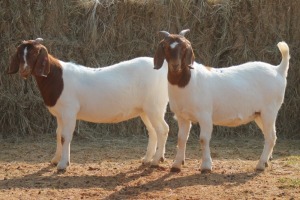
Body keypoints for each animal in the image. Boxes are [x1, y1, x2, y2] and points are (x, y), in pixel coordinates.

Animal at [8, 38, 170, 170]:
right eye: (19, 53)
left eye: (35, 53)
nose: (24, 71)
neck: (57, 78)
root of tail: (163, 68)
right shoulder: (60, 114)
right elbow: (58, 134)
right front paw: (55, 160)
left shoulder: (69, 112)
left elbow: (65, 136)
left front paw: (63, 164)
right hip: (145, 110)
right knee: (153, 131)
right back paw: (147, 159)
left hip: (155, 106)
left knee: (163, 129)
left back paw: (156, 160)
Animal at [154, 28, 290, 173]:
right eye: (165, 47)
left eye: (185, 47)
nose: (175, 65)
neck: (187, 82)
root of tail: (278, 69)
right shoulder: (182, 116)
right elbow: (181, 139)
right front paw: (176, 165)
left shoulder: (205, 115)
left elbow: (203, 139)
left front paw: (206, 166)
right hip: (259, 114)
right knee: (270, 135)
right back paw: (266, 162)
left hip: (269, 111)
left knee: (270, 137)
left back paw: (260, 164)